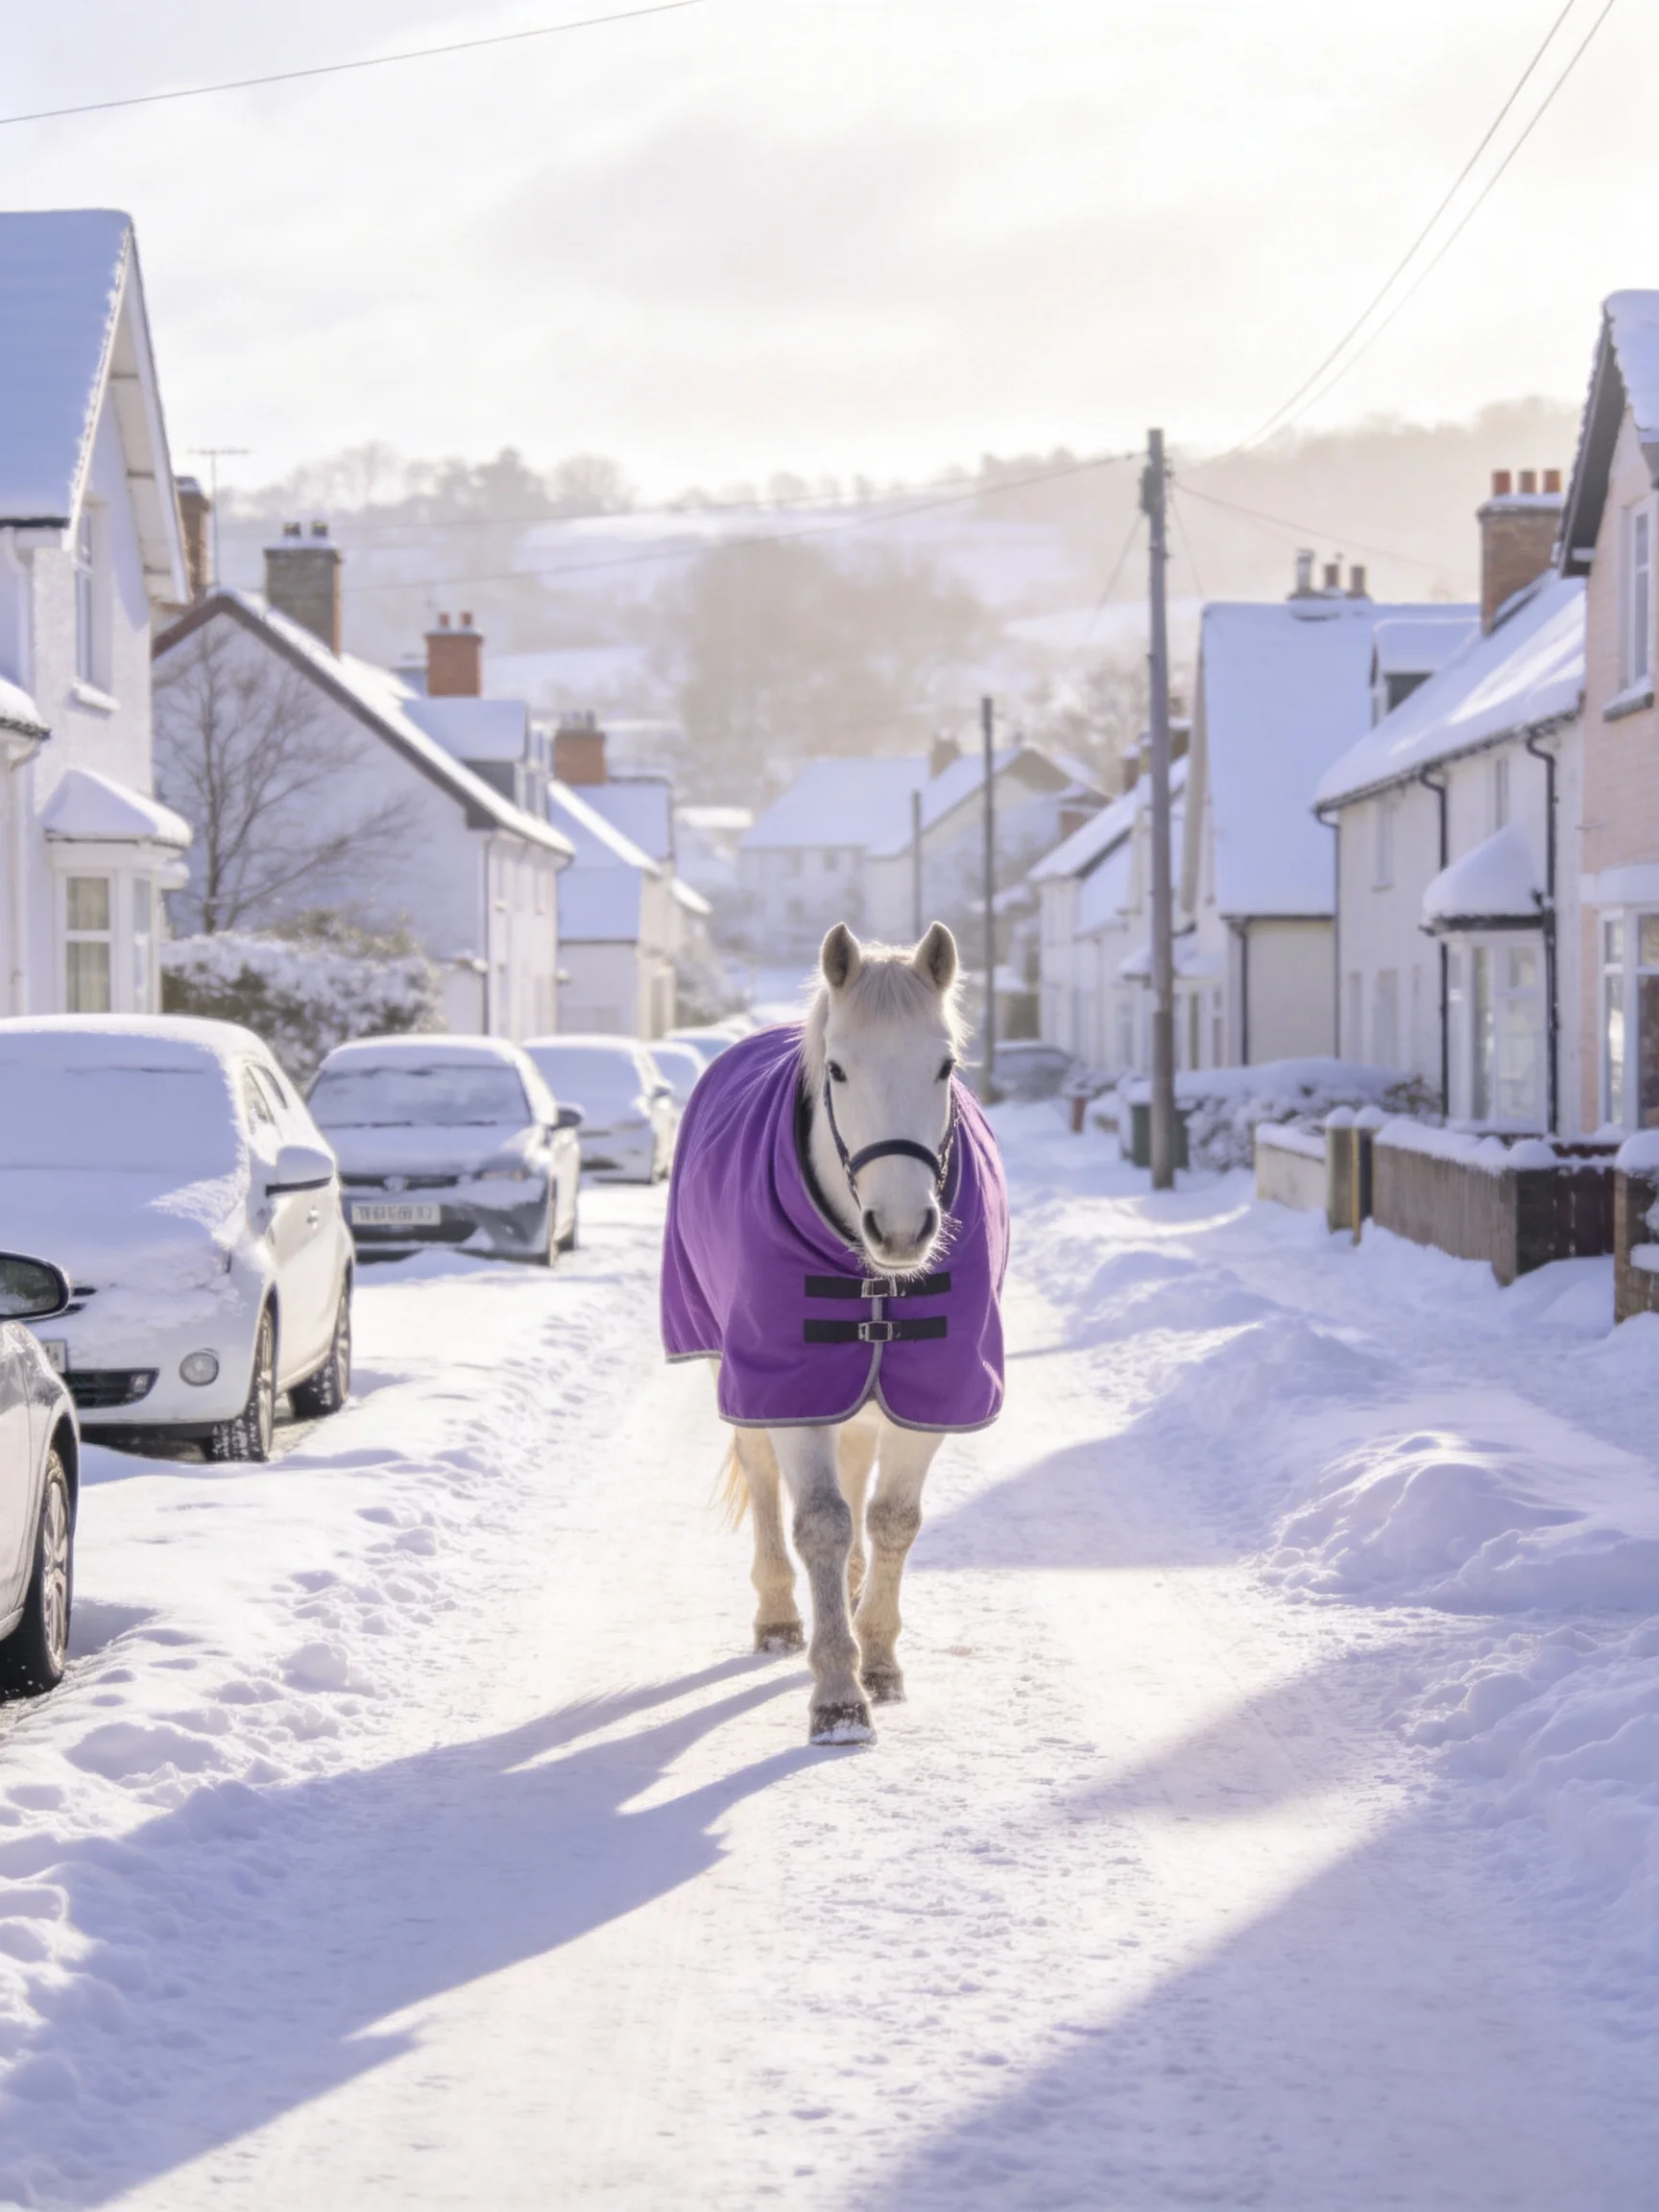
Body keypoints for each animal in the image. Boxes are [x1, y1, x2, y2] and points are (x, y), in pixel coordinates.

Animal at [661, 920, 1009, 1745]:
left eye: (946, 1065)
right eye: (841, 1070)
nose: (904, 1230)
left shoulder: (933, 1393)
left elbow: (890, 1521)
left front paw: (876, 1659)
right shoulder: (791, 1384)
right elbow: (819, 1521)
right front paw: (838, 1697)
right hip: (740, 1371)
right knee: (761, 1476)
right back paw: (782, 1617)